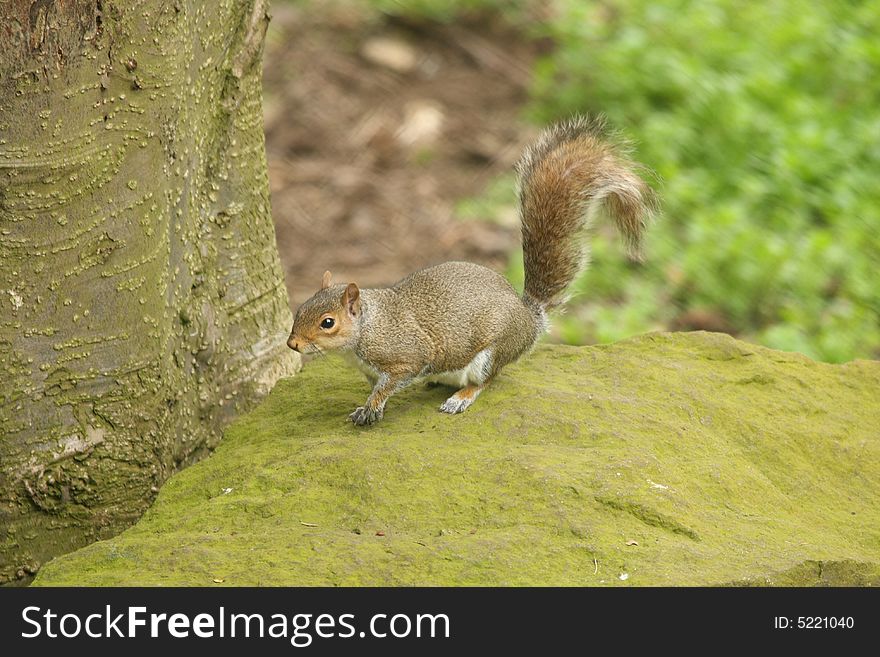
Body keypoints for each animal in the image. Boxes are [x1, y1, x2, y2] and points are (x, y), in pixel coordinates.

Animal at [286, 115, 656, 426]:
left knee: (488, 379)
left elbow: (394, 380)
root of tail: (529, 318)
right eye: (300, 309)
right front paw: (368, 404)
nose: (292, 344)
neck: (368, 326)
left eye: (328, 323)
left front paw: (372, 406)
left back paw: (461, 396)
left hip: (491, 353)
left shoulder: (406, 356)